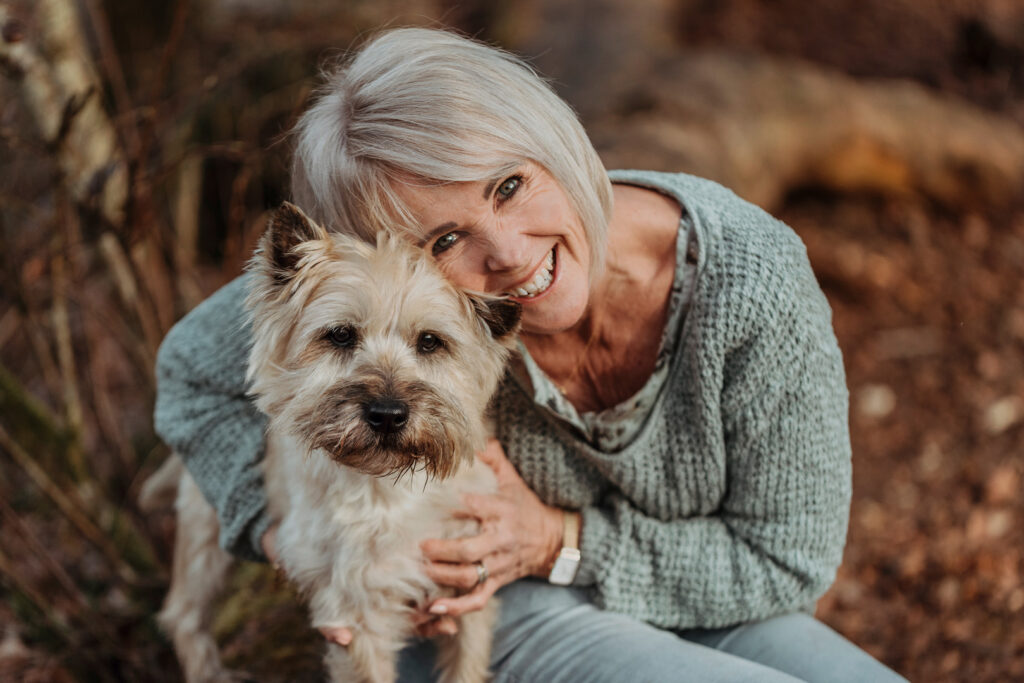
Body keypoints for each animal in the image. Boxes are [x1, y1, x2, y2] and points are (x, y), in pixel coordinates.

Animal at [155, 204, 524, 683]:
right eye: (341, 335)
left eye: (430, 342)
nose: (388, 415)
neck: (389, 490)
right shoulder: (357, 617)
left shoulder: (467, 598)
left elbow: (466, 667)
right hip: (205, 532)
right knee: (183, 614)